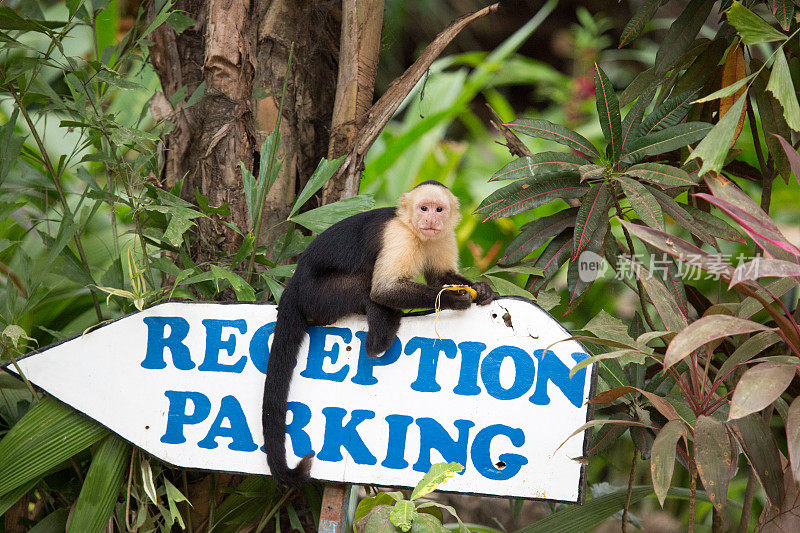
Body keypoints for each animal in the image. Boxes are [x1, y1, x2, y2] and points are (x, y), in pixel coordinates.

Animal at [266, 181, 496, 484]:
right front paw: (450, 299)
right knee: (365, 287)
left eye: (439, 209)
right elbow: (385, 289)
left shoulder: (443, 237)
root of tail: (293, 286)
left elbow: (440, 275)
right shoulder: (398, 237)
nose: (430, 219)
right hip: (319, 295)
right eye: (423, 208)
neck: (415, 231)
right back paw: (379, 338)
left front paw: (480, 289)